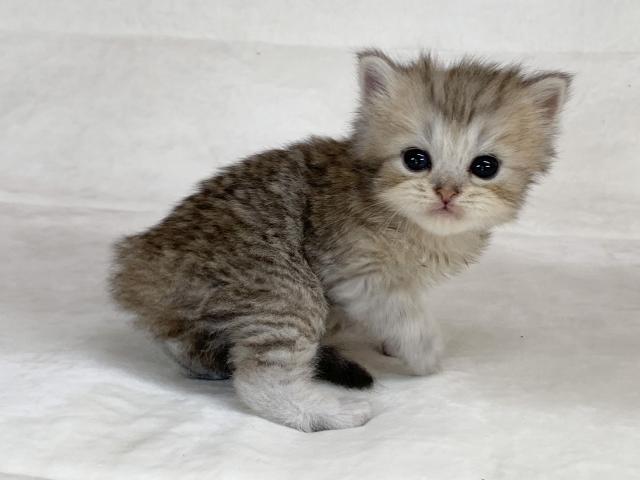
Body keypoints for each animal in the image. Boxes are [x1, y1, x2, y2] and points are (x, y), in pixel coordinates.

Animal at [109, 49, 571, 432]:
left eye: (485, 167)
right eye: (416, 159)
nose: (447, 192)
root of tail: (141, 265)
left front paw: (393, 345)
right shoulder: (354, 271)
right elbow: (404, 313)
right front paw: (424, 352)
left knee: (179, 341)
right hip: (282, 292)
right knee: (260, 378)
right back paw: (323, 413)